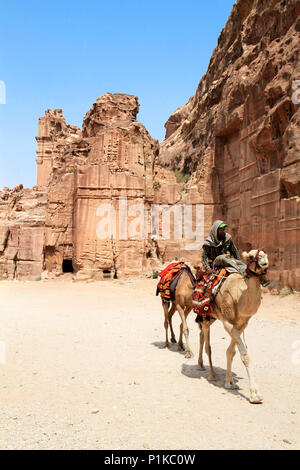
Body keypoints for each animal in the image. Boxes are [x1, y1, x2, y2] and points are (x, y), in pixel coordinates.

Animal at [197, 250, 270, 404]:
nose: (264, 263)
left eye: (265, 254)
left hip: (212, 317)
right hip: (206, 315)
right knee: (207, 344)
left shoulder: (241, 324)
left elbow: (231, 352)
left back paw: (200, 364)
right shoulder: (228, 323)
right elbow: (244, 355)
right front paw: (255, 394)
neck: (238, 298)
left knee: (201, 335)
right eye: (251, 257)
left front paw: (229, 382)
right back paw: (211, 374)